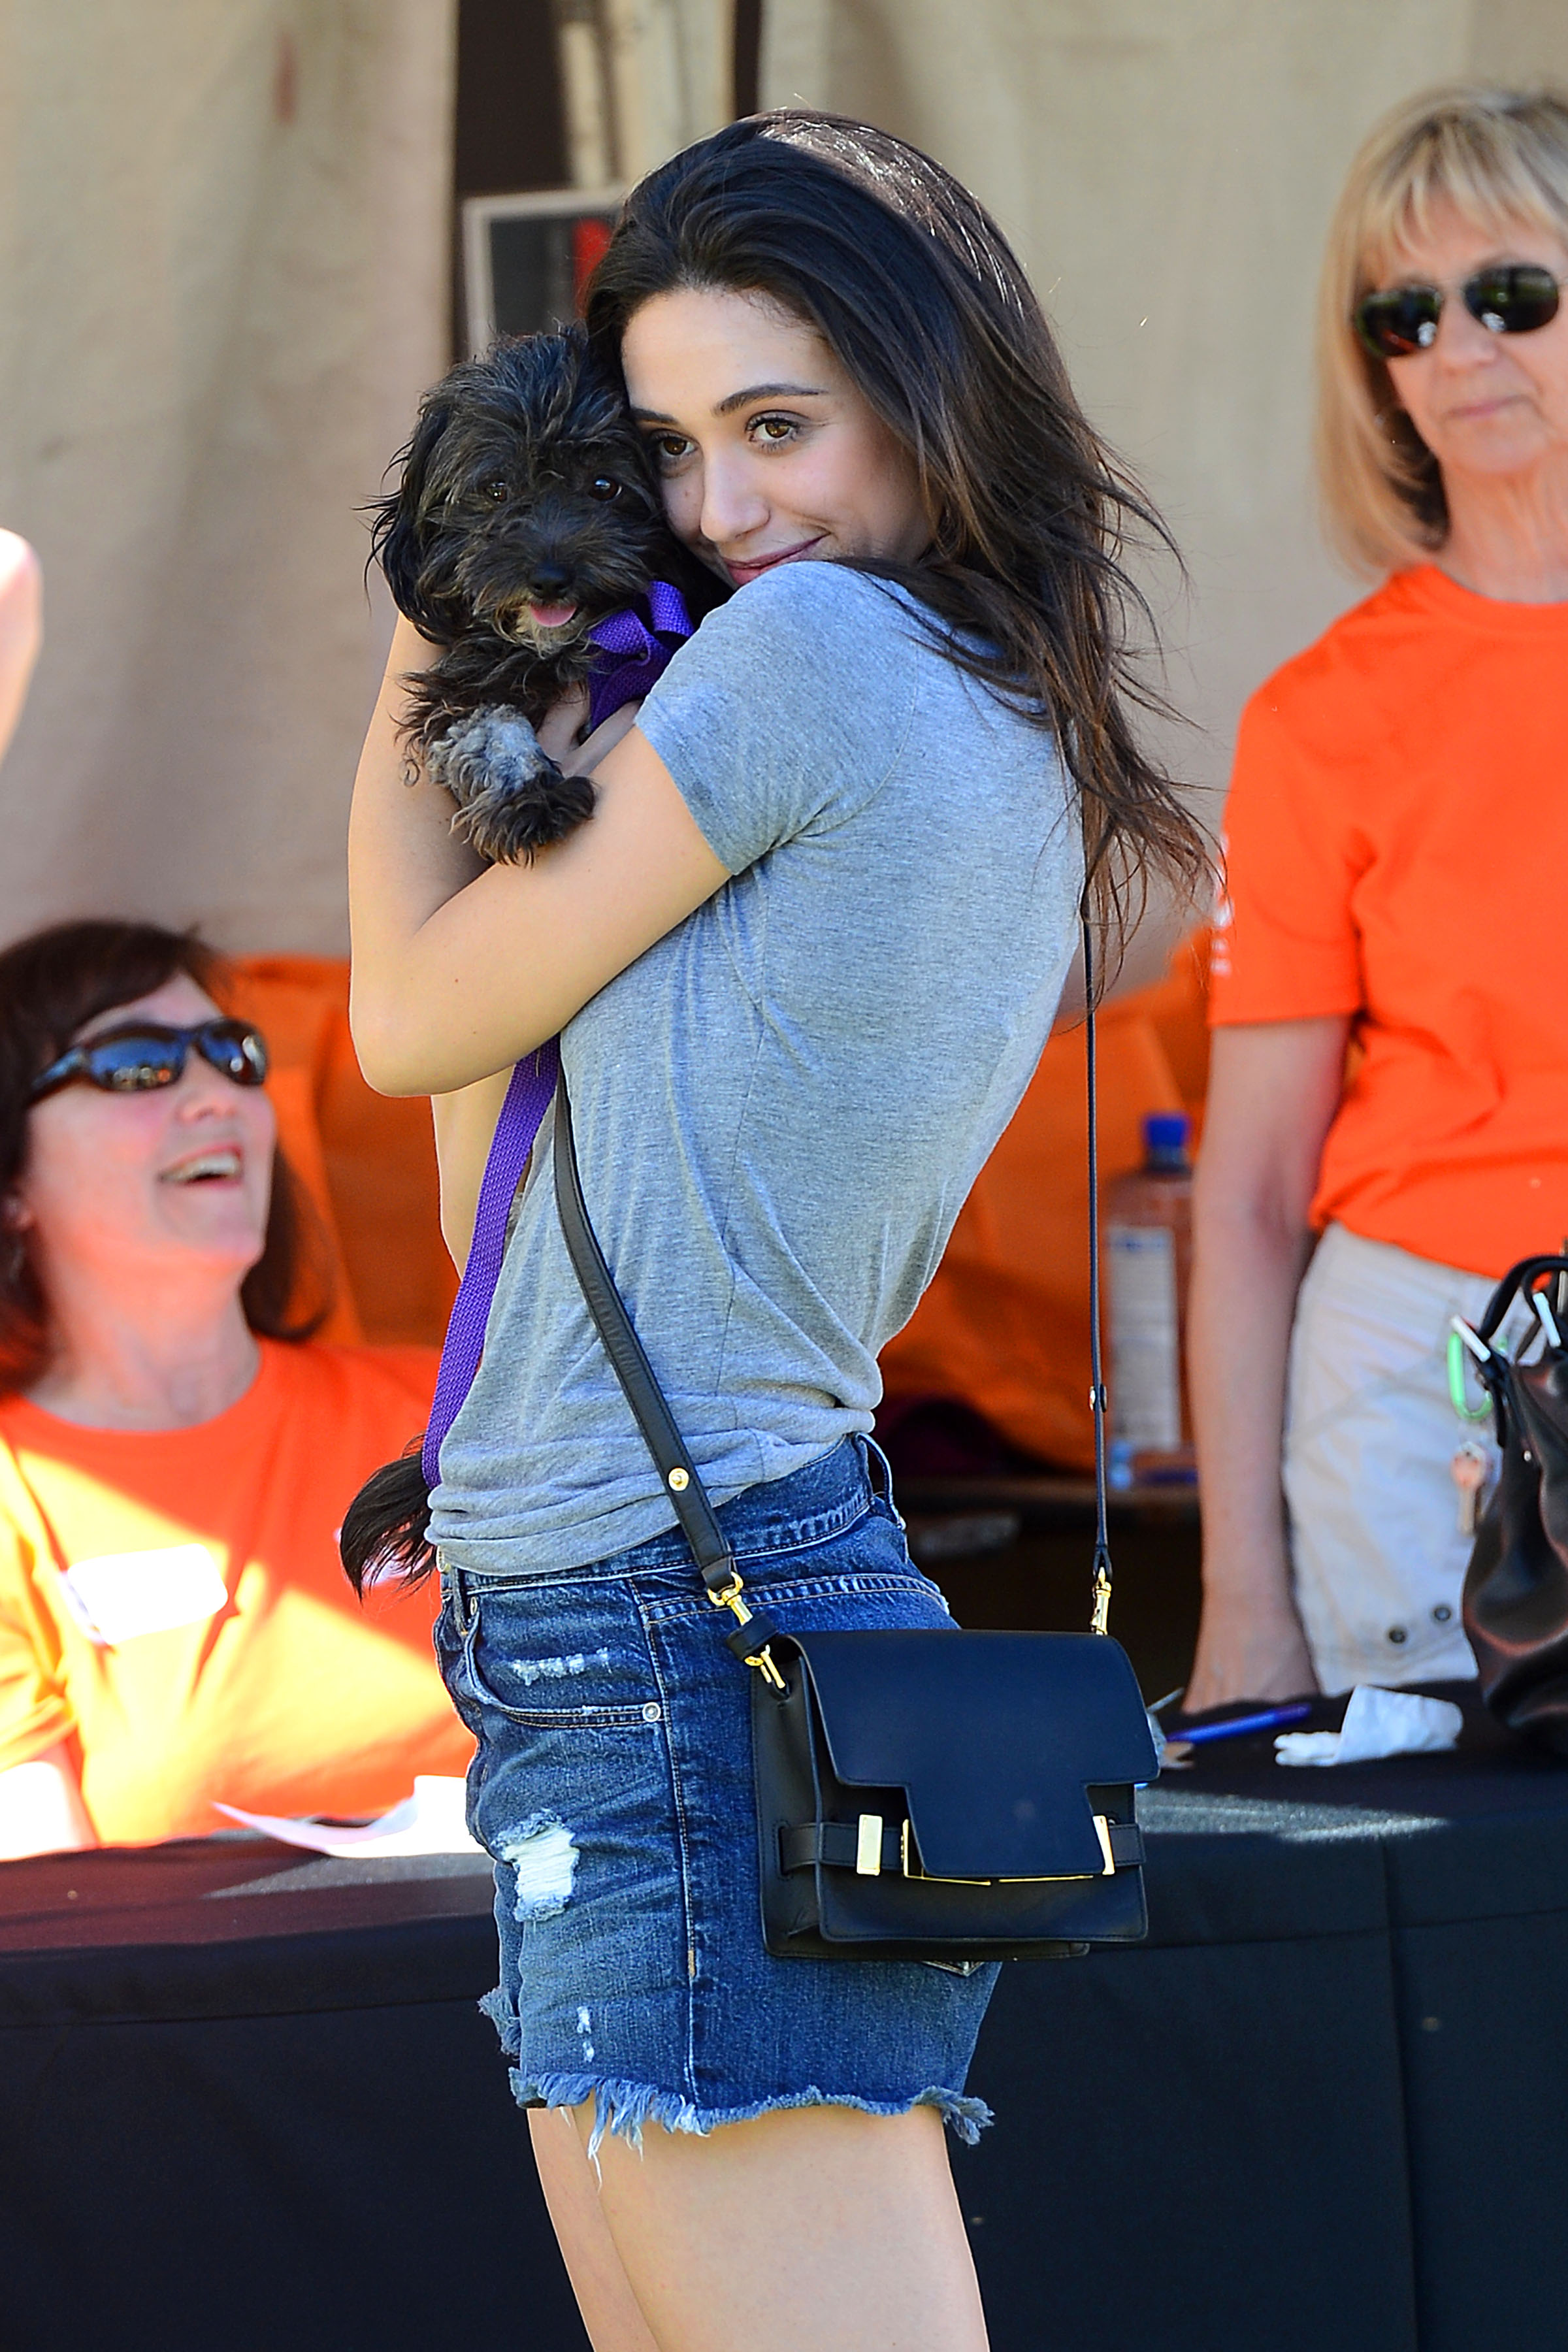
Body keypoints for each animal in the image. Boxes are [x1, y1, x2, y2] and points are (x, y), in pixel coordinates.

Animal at [371, 325, 720, 864]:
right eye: (497, 488)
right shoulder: (461, 685)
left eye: (604, 486)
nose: (551, 579)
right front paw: (529, 799)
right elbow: (487, 727)